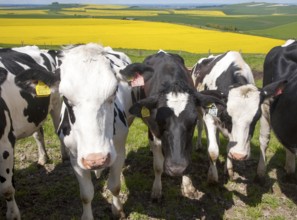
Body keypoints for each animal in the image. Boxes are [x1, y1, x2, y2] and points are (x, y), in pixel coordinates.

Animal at [0, 45, 65, 219]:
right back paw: (43, 158)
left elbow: (6, 189)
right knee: (38, 133)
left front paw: (13, 214)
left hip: (56, 104)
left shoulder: (4, 145)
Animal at [15, 43, 131, 220]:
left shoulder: (119, 151)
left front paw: (117, 210)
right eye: (65, 97)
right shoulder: (76, 158)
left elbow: (115, 186)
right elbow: (86, 194)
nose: (96, 159)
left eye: (114, 92)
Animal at [119, 51, 223, 201]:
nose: (176, 169)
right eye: (160, 120)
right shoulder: (153, 130)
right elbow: (157, 166)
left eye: (193, 121)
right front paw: (157, 190)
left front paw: (188, 185)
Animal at [191, 50, 286, 183]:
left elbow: (229, 146)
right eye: (228, 116)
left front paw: (228, 169)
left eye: (256, 118)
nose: (239, 155)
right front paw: (212, 177)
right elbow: (213, 151)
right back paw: (199, 146)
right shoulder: (209, 116)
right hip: (200, 110)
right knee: (200, 126)